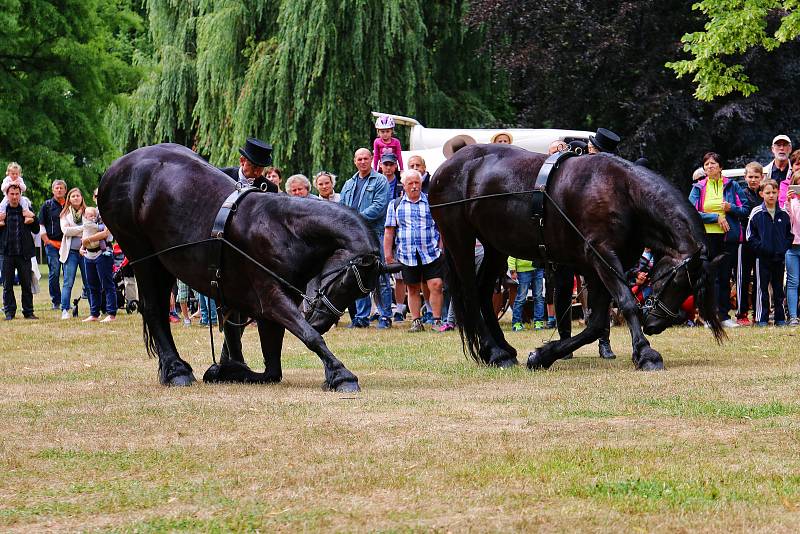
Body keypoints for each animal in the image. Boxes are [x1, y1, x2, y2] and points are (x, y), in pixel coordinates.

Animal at [100, 146, 388, 394]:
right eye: (345, 282)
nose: (322, 322)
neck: (285, 229)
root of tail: (115, 169)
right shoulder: (270, 299)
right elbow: (309, 336)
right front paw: (341, 374)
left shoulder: (267, 310)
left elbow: (271, 369)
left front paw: (227, 370)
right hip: (143, 257)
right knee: (153, 309)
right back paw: (176, 370)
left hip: (165, 264)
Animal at [432, 146, 724, 372]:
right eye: (677, 281)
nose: (656, 325)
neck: (622, 192)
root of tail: (445, 168)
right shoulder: (603, 256)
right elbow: (627, 304)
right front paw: (645, 353)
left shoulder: (599, 268)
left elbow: (596, 324)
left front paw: (543, 355)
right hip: (460, 239)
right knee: (471, 294)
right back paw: (495, 352)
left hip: (495, 247)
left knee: (483, 292)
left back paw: (502, 350)